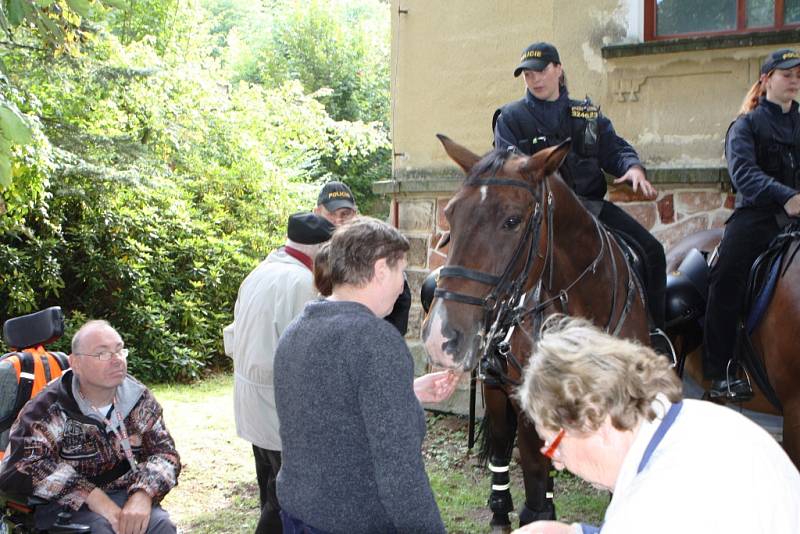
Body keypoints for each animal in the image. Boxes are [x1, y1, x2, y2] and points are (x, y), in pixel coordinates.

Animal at [424, 137, 648, 532]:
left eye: (512, 221)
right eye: (451, 214)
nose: (440, 336)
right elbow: (533, 485)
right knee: (502, 445)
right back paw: (500, 509)